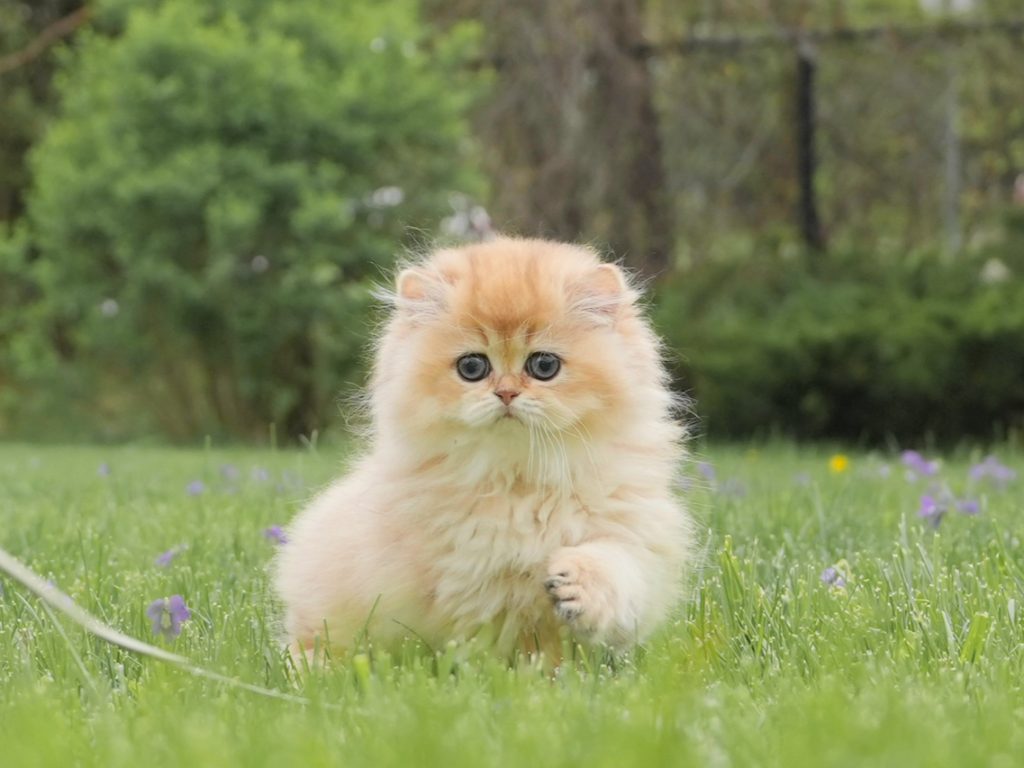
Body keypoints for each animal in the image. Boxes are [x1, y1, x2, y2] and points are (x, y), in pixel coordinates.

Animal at [276, 236, 692, 663]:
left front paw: (575, 590)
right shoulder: (471, 576)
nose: (506, 393)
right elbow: (501, 638)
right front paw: (522, 671)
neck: (521, 480)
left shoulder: (631, 533)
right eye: (472, 367)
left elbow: (612, 567)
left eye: (544, 365)